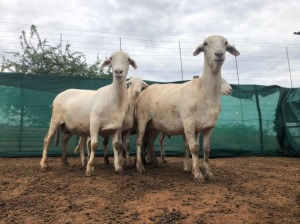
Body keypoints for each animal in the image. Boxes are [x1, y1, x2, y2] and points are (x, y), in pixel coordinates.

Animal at [135, 35, 240, 182]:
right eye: (205, 44)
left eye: (225, 43)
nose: (219, 54)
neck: (204, 92)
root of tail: (145, 90)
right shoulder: (188, 123)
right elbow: (194, 148)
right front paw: (197, 174)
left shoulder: (208, 126)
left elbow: (206, 149)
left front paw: (208, 173)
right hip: (143, 119)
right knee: (139, 141)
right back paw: (140, 167)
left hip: (153, 125)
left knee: (149, 141)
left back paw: (155, 163)